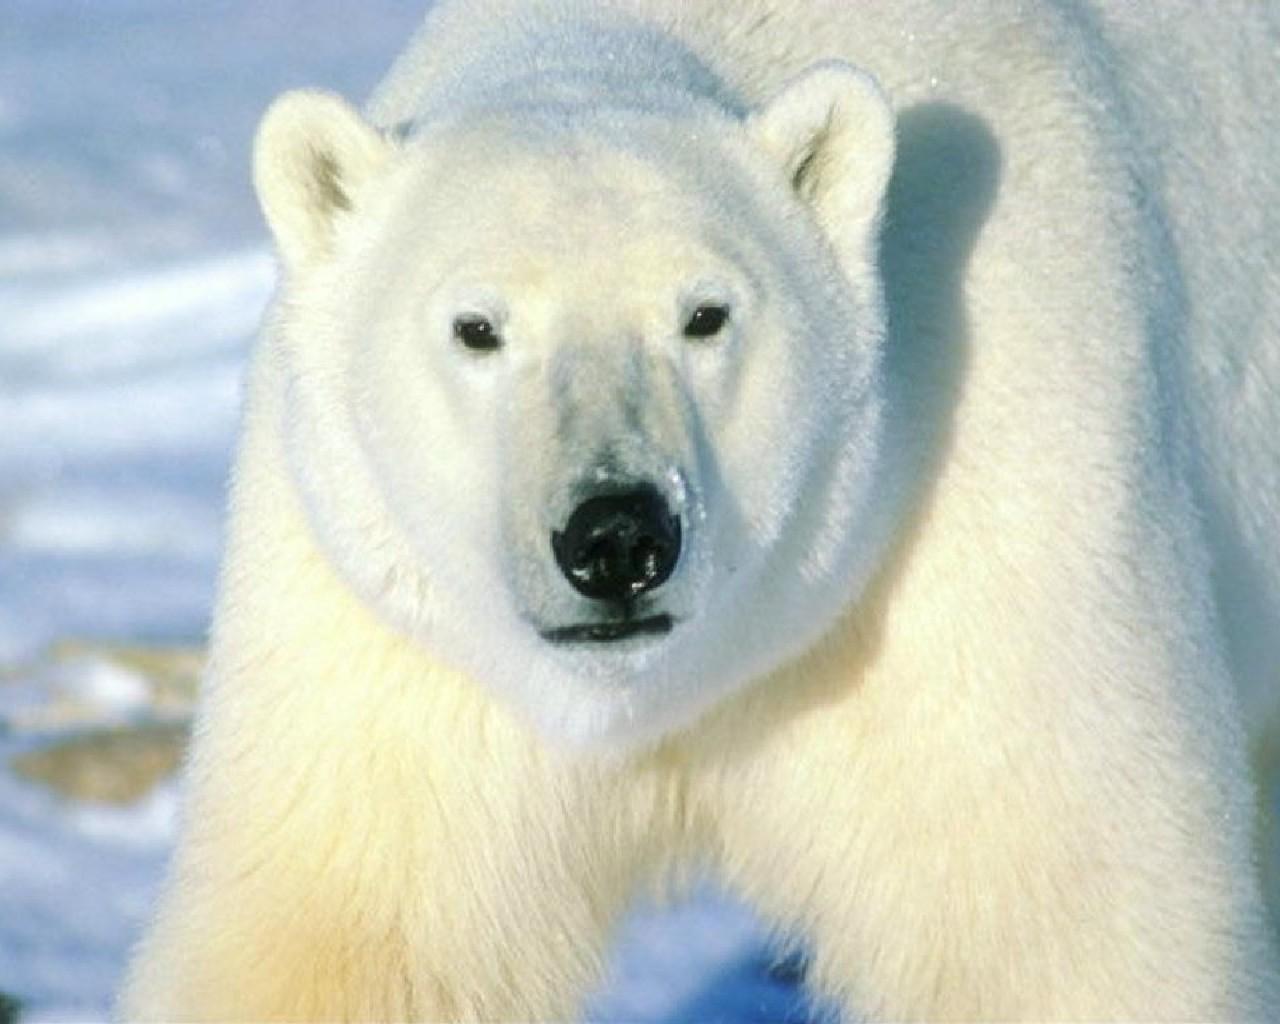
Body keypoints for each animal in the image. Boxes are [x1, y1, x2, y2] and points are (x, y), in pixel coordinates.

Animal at [121, 0, 1280, 1019]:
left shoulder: (986, 506)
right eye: (476, 327)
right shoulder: (389, 641)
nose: (616, 536)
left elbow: (1051, 927)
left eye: (705, 315)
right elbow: (353, 935)